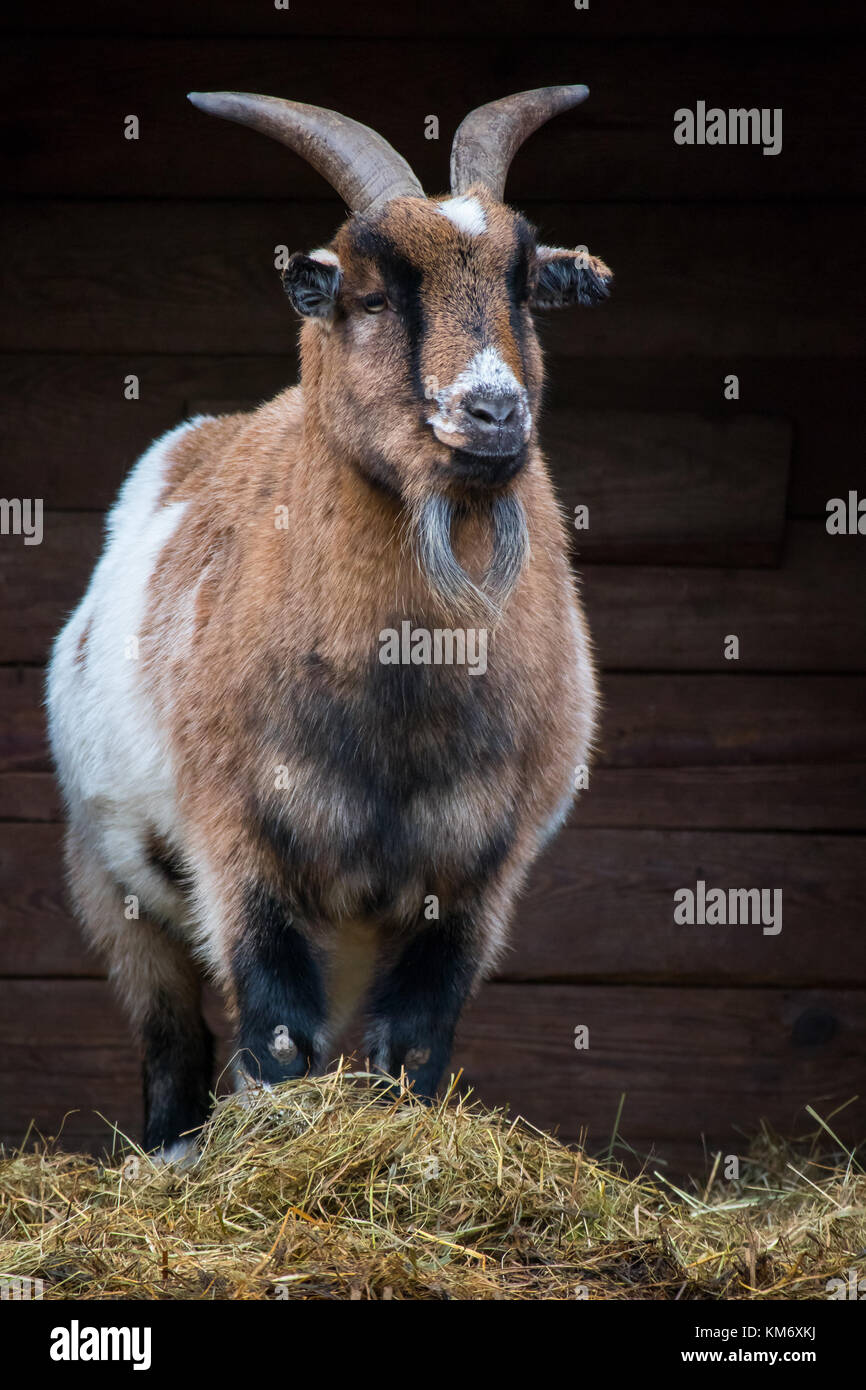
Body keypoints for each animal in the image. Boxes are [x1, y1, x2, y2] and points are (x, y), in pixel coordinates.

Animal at [47, 81, 614, 1156]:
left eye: (525, 285)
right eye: (373, 292)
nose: (492, 413)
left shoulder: (480, 874)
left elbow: (412, 1045)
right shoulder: (239, 846)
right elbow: (278, 1039)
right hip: (114, 881)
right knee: (172, 1035)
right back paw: (170, 1155)